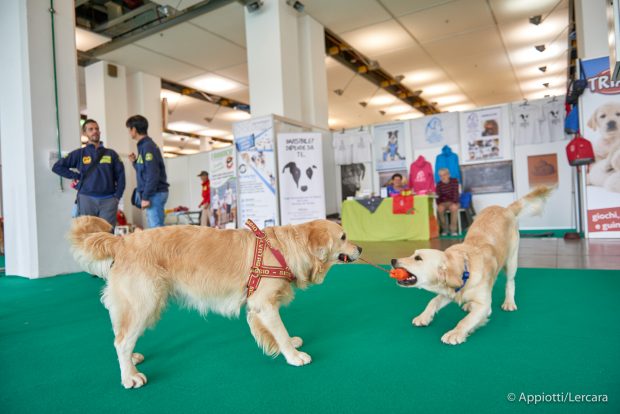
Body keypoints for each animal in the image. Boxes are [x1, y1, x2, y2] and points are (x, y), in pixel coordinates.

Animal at [68, 217, 360, 388]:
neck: (281, 251)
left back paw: (133, 360)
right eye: (344, 237)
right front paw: (294, 355)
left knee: (122, 335)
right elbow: (280, 332)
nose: (360, 249)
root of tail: (123, 240)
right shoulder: (264, 304)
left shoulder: (259, 307)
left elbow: (275, 333)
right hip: (145, 301)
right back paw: (130, 376)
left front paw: (288, 344)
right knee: (121, 341)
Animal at [392, 186, 552, 344]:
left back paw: (508, 302)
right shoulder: (449, 292)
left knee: (510, 283)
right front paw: (423, 317)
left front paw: (454, 333)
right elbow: (433, 301)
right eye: (413, 254)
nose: (393, 261)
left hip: (511, 261)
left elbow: (465, 321)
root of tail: (505, 208)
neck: (465, 272)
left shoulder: (484, 306)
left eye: (418, 258)